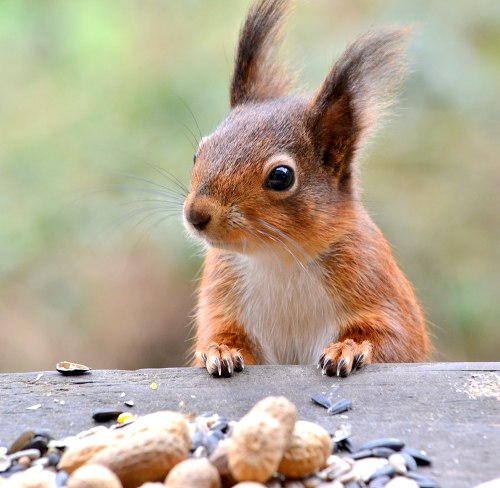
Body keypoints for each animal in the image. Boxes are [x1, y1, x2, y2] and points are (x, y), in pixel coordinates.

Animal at [183, 0, 430, 378]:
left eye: (281, 176)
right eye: (199, 152)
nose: (196, 215)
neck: (280, 259)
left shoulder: (376, 285)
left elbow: (394, 341)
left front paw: (348, 348)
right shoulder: (222, 299)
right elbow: (220, 332)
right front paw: (220, 351)